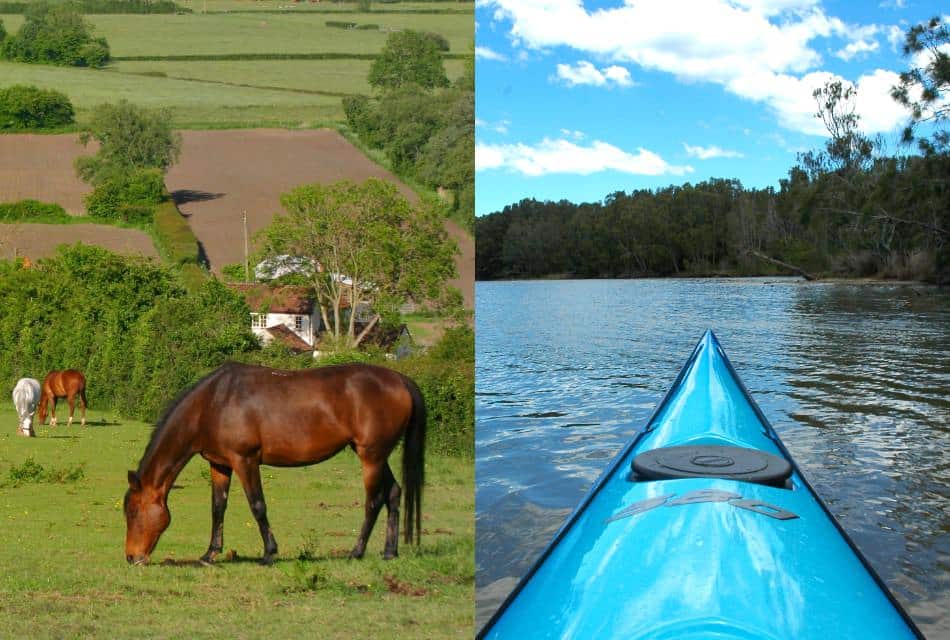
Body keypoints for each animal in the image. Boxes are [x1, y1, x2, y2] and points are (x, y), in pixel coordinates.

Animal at [123, 362, 428, 568]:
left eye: (133, 511)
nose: (131, 557)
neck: (213, 404)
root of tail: (400, 380)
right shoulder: (220, 465)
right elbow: (217, 508)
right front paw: (210, 553)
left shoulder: (245, 460)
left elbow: (257, 506)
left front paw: (269, 553)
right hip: (378, 456)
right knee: (394, 493)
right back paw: (389, 551)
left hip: (371, 457)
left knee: (374, 501)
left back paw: (356, 552)